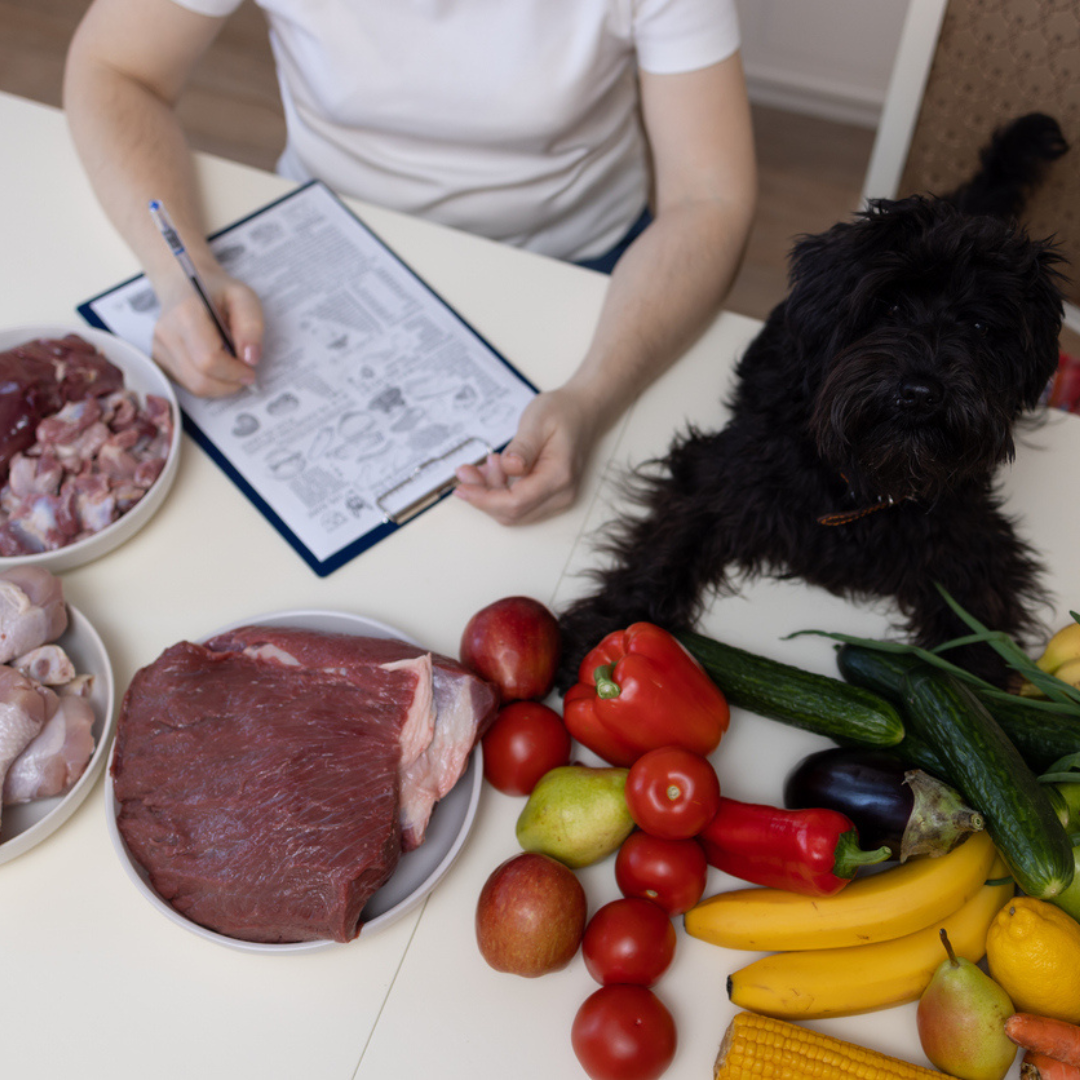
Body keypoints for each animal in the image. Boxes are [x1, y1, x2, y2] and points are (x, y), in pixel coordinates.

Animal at [561, 113, 1067, 686]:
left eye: (980, 326)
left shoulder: (972, 541)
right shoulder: (718, 477)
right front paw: (604, 631)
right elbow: (664, 548)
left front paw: (979, 695)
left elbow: (977, 630)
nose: (921, 393)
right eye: (889, 305)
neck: (862, 486)